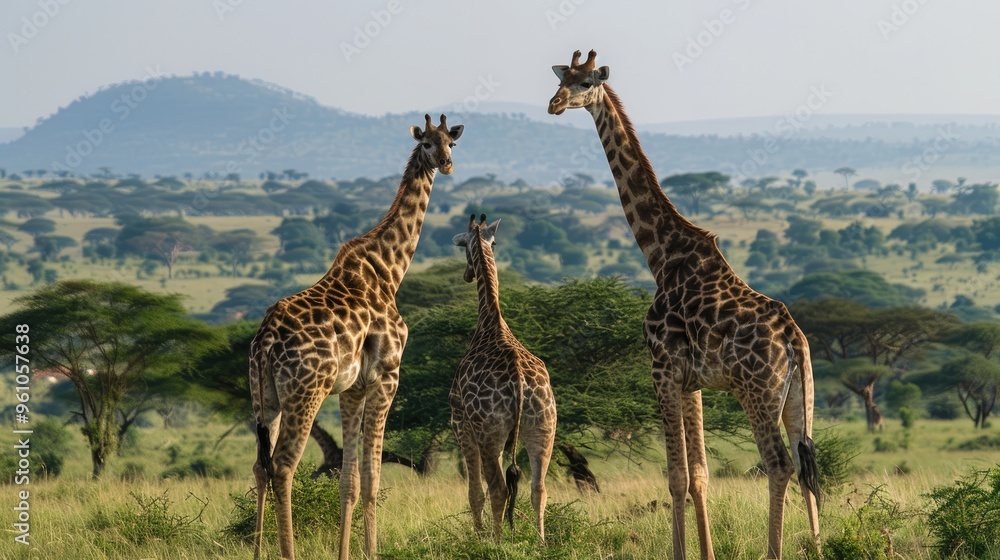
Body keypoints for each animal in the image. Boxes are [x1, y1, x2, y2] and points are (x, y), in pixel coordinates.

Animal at [250, 114, 464, 560]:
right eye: (428, 144)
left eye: (451, 142)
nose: (447, 164)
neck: (389, 269)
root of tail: (265, 341)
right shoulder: (387, 377)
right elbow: (372, 478)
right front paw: (372, 551)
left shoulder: (352, 389)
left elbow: (348, 481)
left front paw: (345, 553)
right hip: (306, 393)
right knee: (283, 467)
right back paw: (287, 552)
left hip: (265, 398)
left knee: (260, 465)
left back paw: (257, 550)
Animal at [450, 214, 557, 542]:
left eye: (462, 246)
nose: (466, 275)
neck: (491, 321)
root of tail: (519, 383)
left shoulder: (461, 424)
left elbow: (475, 492)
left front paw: (479, 535)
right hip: (543, 427)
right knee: (539, 488)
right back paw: (541, 542)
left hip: (490, 432)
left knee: (497, 488)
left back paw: (496, 543)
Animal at [547, 50, 820, 560]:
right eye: (561, 80)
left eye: (587, 82)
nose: (554, 104)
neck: (661, 254)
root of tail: (794, 339)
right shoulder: (693, 381)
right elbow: (700, 477)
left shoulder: (662, 368)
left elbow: (676, 477)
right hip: (799, 396)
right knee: (806, 462)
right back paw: (817, 546)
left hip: (756, 392)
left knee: (778, 464)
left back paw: (775, 551)